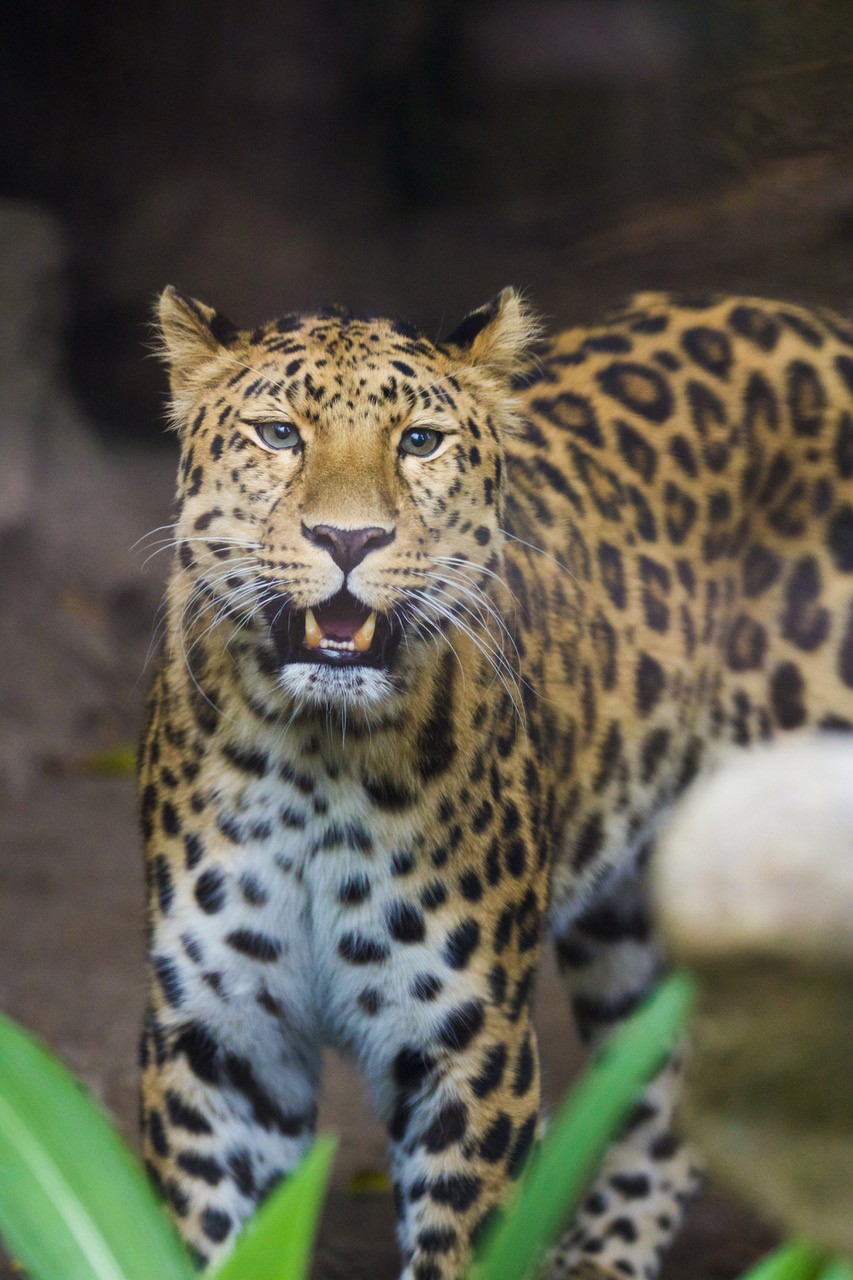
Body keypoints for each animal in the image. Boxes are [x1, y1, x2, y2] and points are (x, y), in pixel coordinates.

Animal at [139, 283, 853, 1280]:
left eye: (419, 441)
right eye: (278, 434)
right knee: (670, 1069)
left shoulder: (467, 1044)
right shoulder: (221, 1039)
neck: (318, 754)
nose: (349, 537)